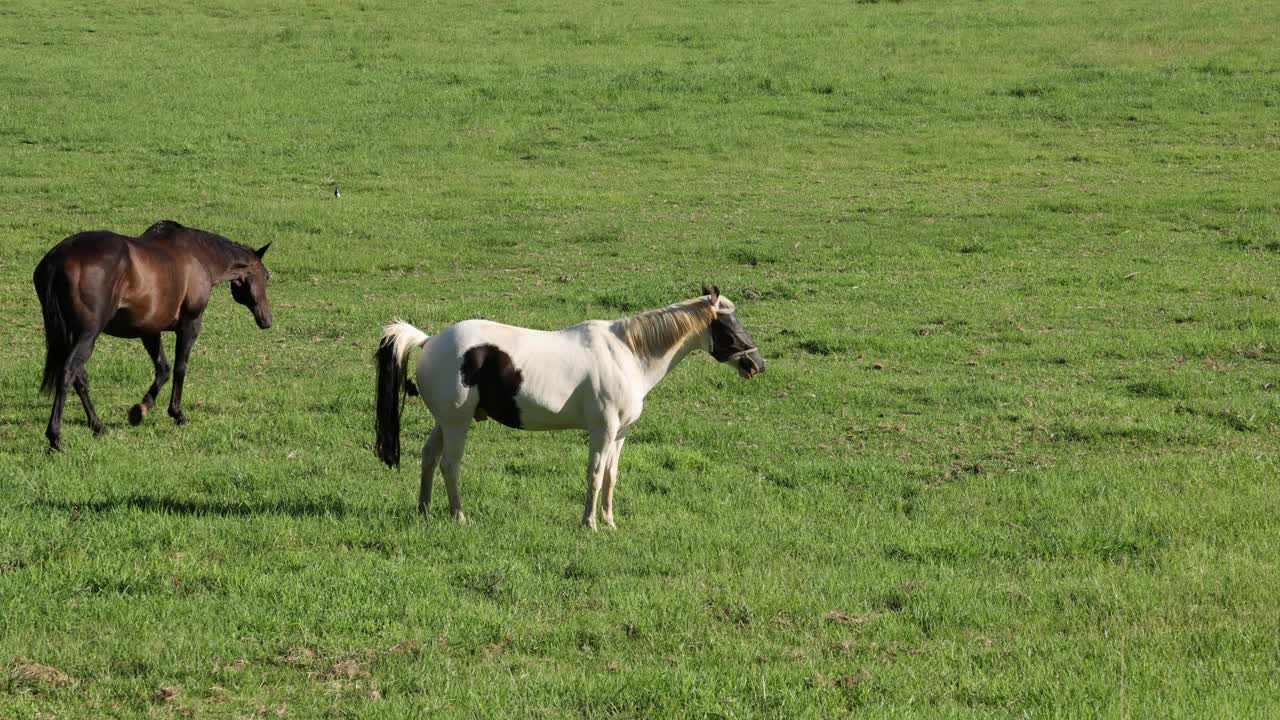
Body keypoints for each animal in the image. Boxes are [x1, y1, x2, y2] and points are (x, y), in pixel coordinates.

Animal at [33, 221, 273, 450]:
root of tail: (57, 259)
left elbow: (163, 369)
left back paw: (98, 426)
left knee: (79, 377)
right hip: (87, 335)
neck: (199, 256)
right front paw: (177, 414)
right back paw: (55, 438)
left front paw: (140, 410)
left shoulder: (149, 330)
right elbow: (179, 368)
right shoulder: (190, 324)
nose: (268, 319)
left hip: (72, 336)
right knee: (68, 373)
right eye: (267, 276)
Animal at [373, 284, 762, 527]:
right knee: (449, 466)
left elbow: (611, 476)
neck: (626, 355)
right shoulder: (602, 431)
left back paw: (424, 510)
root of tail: (429, 340)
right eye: (728, 326)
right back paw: (459, 516)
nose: (757, 364)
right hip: (457, 424)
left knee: (428, 457)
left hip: (445, 422)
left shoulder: (620, 434)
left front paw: (609, 521)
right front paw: (589, 523)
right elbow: (594, 475)